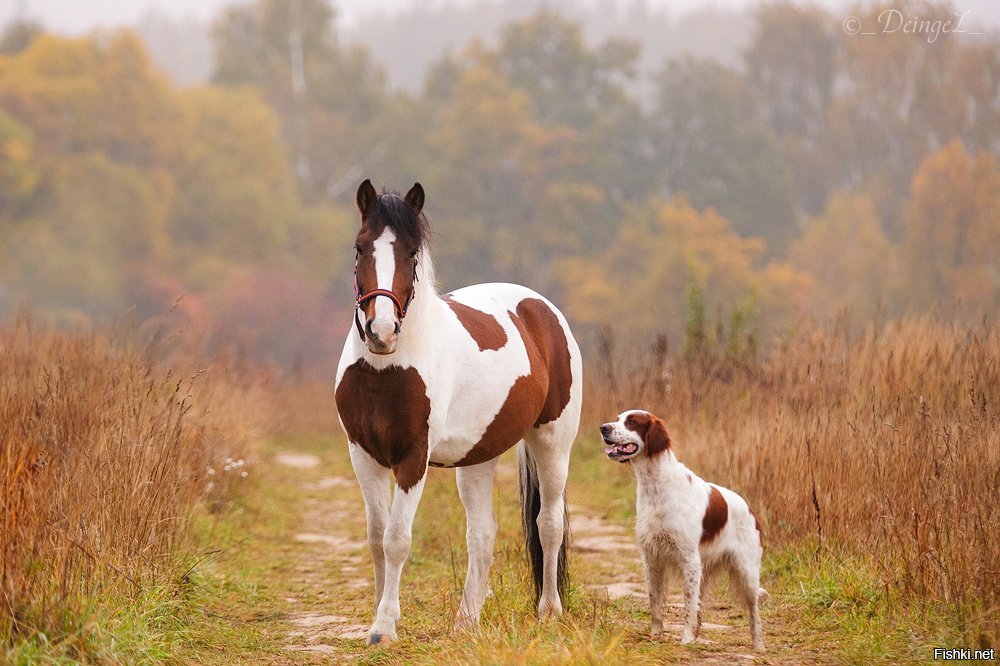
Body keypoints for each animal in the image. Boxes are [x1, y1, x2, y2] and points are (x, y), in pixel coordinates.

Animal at [334, 180, 584, 644]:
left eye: (411, 253)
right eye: (360, 248)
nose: (381, 332)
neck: (385, 370)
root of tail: (540, 309)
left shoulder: (413, 458)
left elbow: (397, 539)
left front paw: (385, 626)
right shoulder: (362, 454)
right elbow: (376, 538)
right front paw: (376, 619)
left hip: (553, 442)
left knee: (548, 524)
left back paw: (549, 611)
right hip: (477, 459)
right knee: (482, 535)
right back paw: (467, 620)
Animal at [596, 408, 768, 644]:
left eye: (632, 422)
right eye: (617, 419)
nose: (603, 428)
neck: (656, 486)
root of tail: (751, 511)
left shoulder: (689, 559)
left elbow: (687, 603)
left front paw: (685, 639)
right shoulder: (652, 557)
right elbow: (655, 600)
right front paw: (656, 634)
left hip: (746, 571)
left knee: (754, 612)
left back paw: (758, 645)